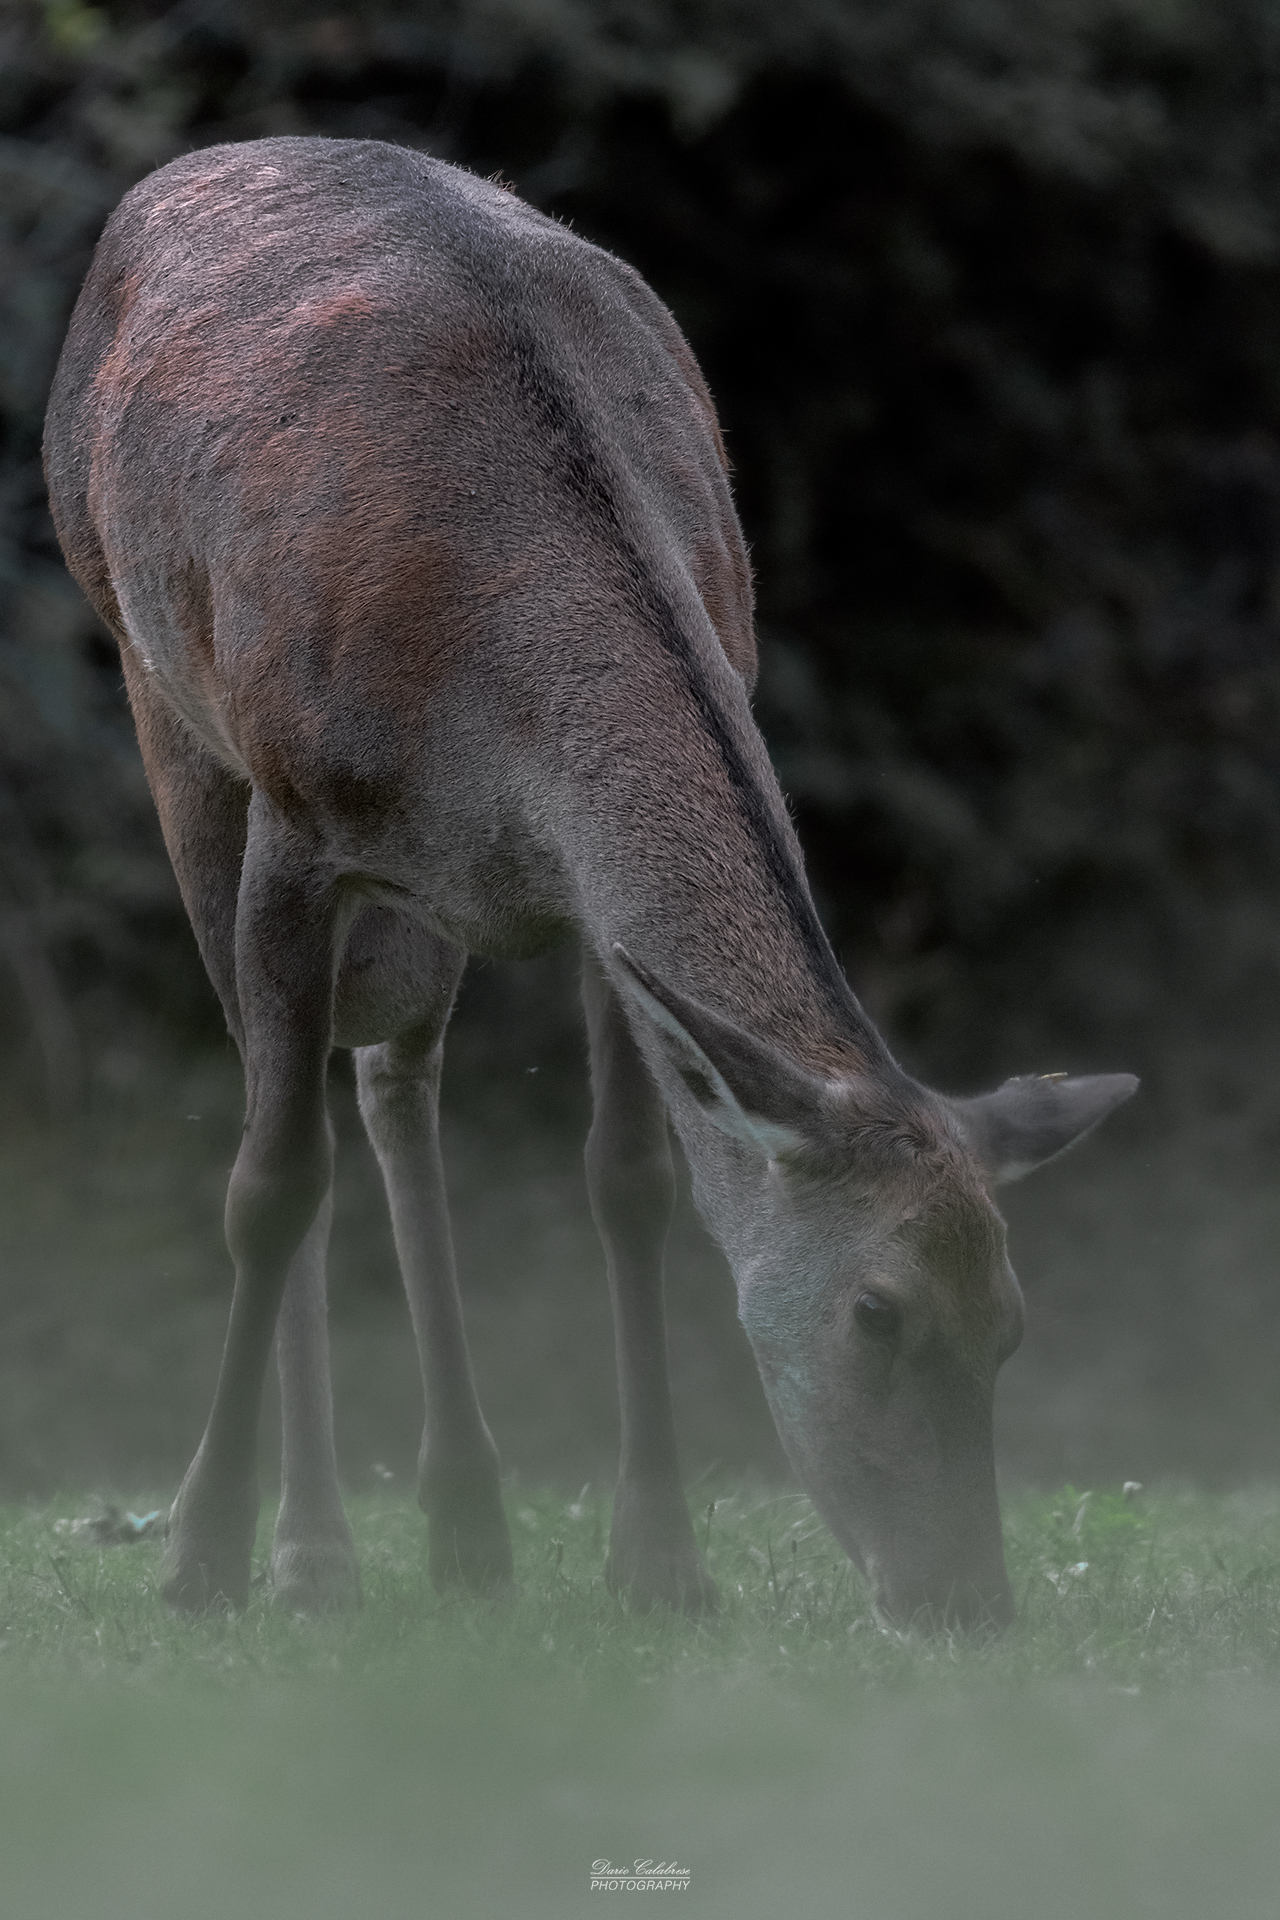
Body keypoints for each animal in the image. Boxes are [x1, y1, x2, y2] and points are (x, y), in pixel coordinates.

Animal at [43, 136, 1136, 1630]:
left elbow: (630, 1179)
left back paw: (465, 1523)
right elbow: (267, 1187)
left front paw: (659, 1557)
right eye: (877, 1309)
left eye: (1012, 1323)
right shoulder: (296, 823)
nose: (965, 1602)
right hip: (164, 701)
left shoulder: (591, 910)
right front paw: (204, 1560)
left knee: (394, 1077)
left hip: (417, 912)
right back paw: (318, 1550)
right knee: (292, 1091)